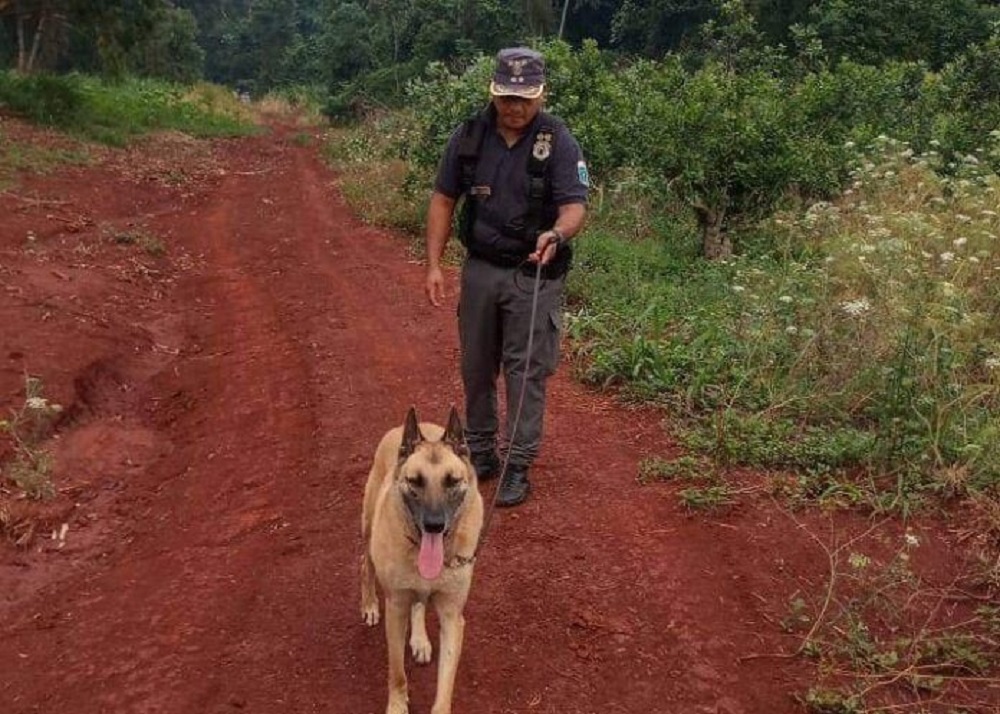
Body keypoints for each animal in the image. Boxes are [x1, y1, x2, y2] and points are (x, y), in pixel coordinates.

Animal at [360, 406, 484, 712]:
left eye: (452, 481)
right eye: (415, 481)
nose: (434, 525)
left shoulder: (453, 618)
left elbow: (444, 689)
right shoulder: (396, 609)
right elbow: (397, 673)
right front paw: (397, 705)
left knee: (419, 602)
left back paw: (419, 638)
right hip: (368, 531)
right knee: (365, 566)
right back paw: (369, 605)